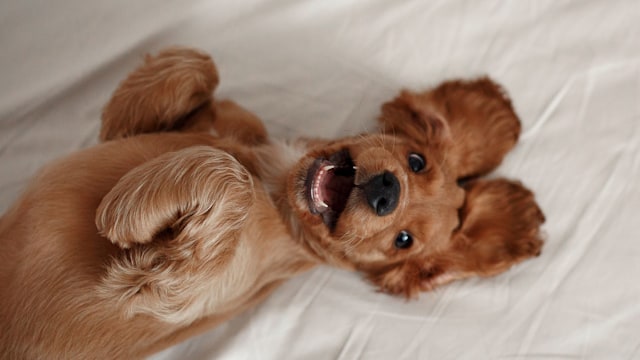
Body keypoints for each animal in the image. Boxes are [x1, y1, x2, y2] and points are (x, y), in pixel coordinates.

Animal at [0, 47, 544, 358]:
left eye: (403, 241)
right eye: (416, 161)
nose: (386, 192)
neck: (279, 183)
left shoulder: (162, 293)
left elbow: (229, 178)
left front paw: (129, 208)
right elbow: (197, 66)